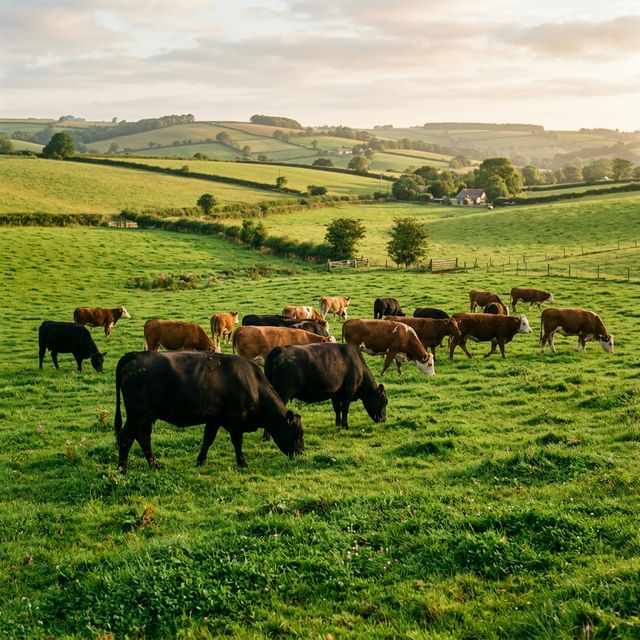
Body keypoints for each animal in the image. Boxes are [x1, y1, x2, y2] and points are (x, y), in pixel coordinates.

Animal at [114, 351, 304, 472]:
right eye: (297, 434)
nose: (301, 453)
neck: (253, 385)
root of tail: (138, 355)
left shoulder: (214, 419)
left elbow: (208, 439)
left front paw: (200, 460)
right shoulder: (236, 421)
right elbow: (237, 442)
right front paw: (242, 462)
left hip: (146, 417)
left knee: (143, 438)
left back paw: (155, 465)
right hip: (137, 415)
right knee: (126, 437)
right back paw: (121, 469)